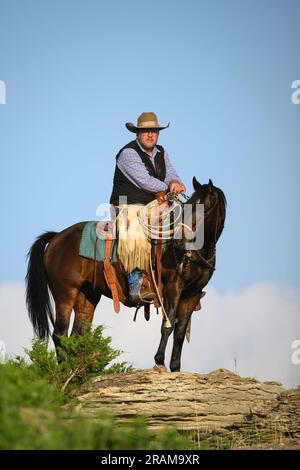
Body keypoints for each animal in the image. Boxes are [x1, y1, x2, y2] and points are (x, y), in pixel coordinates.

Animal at [25, 177, 226, 370]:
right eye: (187, 208)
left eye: (204, 209)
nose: (180, 242)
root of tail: (57, 237)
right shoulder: (172, 289)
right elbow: (167, 326)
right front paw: (159, 362)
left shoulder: (192, 294)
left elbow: (180, 332)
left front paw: (175, 367)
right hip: (65, 294)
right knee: (59, 334)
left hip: (87, 296)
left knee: (78, 336)